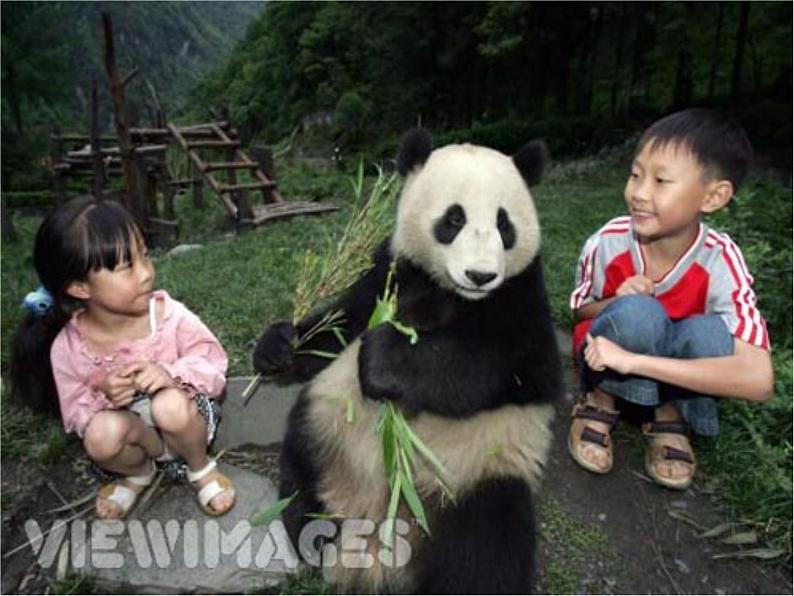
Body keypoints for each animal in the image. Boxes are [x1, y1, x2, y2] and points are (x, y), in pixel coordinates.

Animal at [255, 129, 564, 592]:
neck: (451, 293)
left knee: (486, 552)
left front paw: (383, 361)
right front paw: (279, 346)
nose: (481, 276)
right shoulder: (393, 270)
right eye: (453, 219)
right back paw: (313, 531)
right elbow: (341, 322)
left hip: (478, 473)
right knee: (300, 462)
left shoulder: (522, 294)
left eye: (504, 224)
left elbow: (507, 364)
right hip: (327, 430)